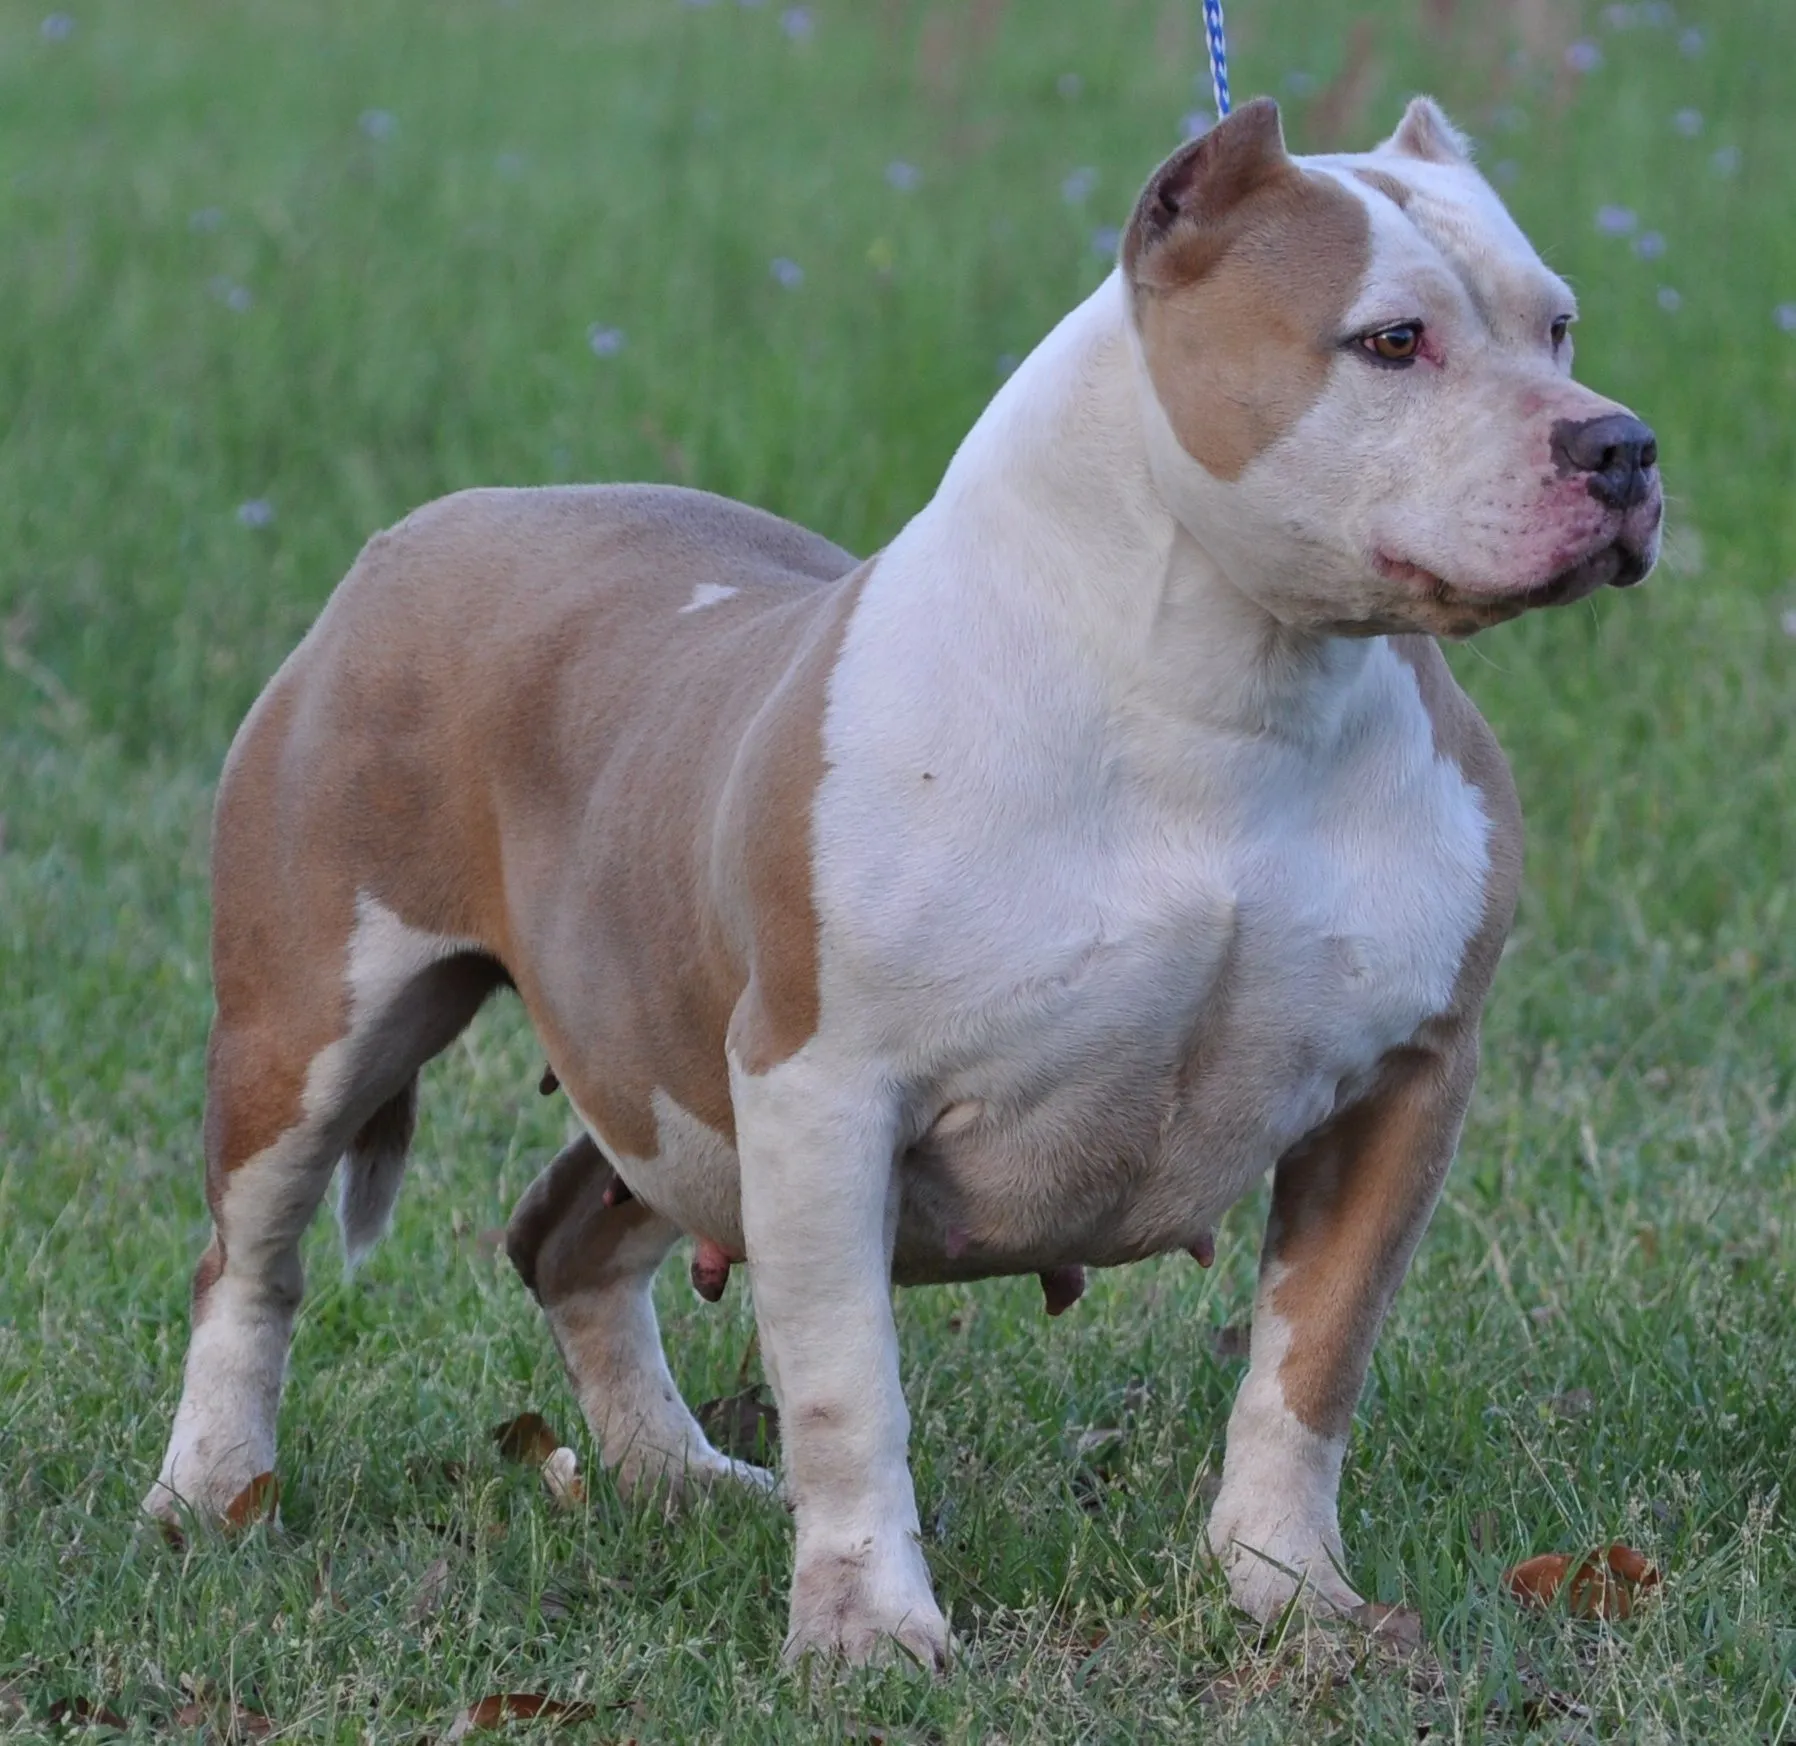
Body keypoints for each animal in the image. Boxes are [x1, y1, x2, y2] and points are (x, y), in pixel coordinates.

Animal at [147, 102, 1659, 1674]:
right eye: (1390, 341)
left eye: (1557, 323)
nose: (1618, 444)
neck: (1227, 692)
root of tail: (423, 531)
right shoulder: (822, 1095)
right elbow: (845, 1391)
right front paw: (868, 1628)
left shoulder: (1405, 1083)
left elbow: (1309, 1365)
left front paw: (1284, 1591)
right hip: (311, 1031)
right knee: (247, 1263)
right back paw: (211, 1494)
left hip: (659, 1063)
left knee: (562, 1235)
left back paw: (674, 1475)